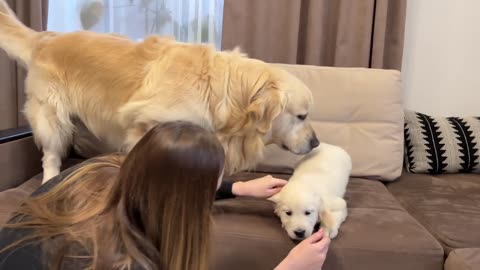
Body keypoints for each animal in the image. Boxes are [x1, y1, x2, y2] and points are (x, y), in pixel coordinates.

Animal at [1, 1, 320, 182]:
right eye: (301, 116)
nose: (316, 143)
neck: (222, 91)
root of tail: (45, 37)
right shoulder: (145, 126)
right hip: (52, 117)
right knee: (50, 156)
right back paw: (48, 179)